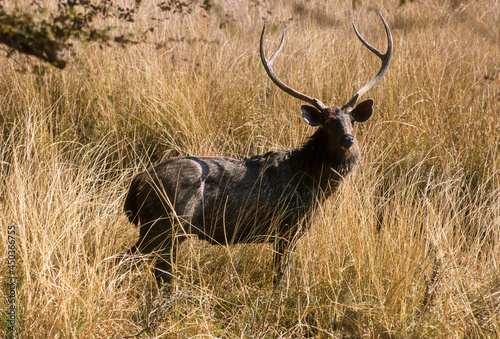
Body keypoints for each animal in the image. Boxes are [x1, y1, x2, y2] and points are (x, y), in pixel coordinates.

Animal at [123, 13, 392, 286]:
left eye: (352, 120)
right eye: (327, 123)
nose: (348, 139)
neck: (312, 184)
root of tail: (139, 181)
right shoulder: (287, 227)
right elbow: (282, 277)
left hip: (165, 229)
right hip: (165, 223)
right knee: (133, 261)